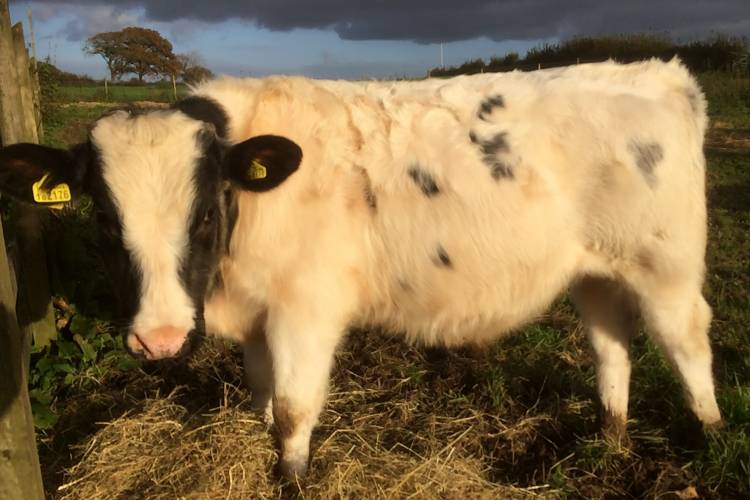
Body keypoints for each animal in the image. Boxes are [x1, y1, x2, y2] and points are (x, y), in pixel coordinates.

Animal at [0, 57, 722, 480]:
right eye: (103, 219)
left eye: (204, 213)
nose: (161, 339)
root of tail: (657, 72)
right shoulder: (260, 314)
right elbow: (262, 398)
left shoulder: (305, 309)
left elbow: (293, 412)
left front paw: (291, 479)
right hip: (594, 270)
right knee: (611, 344)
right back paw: (610, 436)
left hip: (667, 264)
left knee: (687, 340)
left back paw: (711, 436)